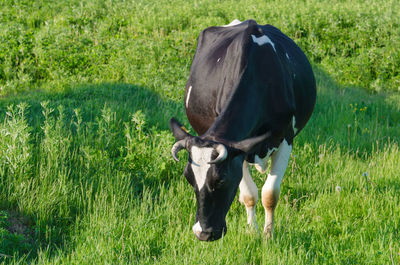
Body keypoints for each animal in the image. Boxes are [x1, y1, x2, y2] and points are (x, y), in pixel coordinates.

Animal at [168, 19, 316, 240]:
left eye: (220, 180)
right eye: (188, 178)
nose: (203, 233)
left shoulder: (285, 139)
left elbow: (270, 193)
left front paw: (268, 235)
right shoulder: (239, 149)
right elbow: (249, 194)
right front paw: (253, 230)